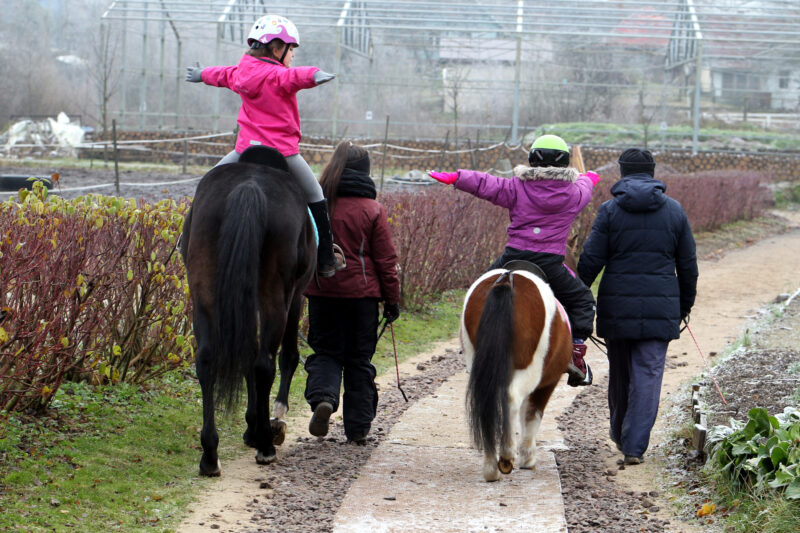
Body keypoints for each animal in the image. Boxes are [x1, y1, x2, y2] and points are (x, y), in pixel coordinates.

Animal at [180, 145, 316, 474]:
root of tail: (249, 186)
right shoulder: (296, 297)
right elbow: (287, 356)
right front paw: (273, 419)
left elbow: (245, 351)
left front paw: (252, 425)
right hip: (275, 298)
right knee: (264, 363)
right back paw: (266, 444)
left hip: (204, 294)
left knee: (207, 360)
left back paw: (210, 454)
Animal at [462, 264, 576, 480]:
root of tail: (507, 279)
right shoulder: (548, 382)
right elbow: (532, 415)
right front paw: (528, 457)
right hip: (529, 368)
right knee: (511, 399)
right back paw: (506, 455)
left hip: (477, 361)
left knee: (487, 402)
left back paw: (490, 466)